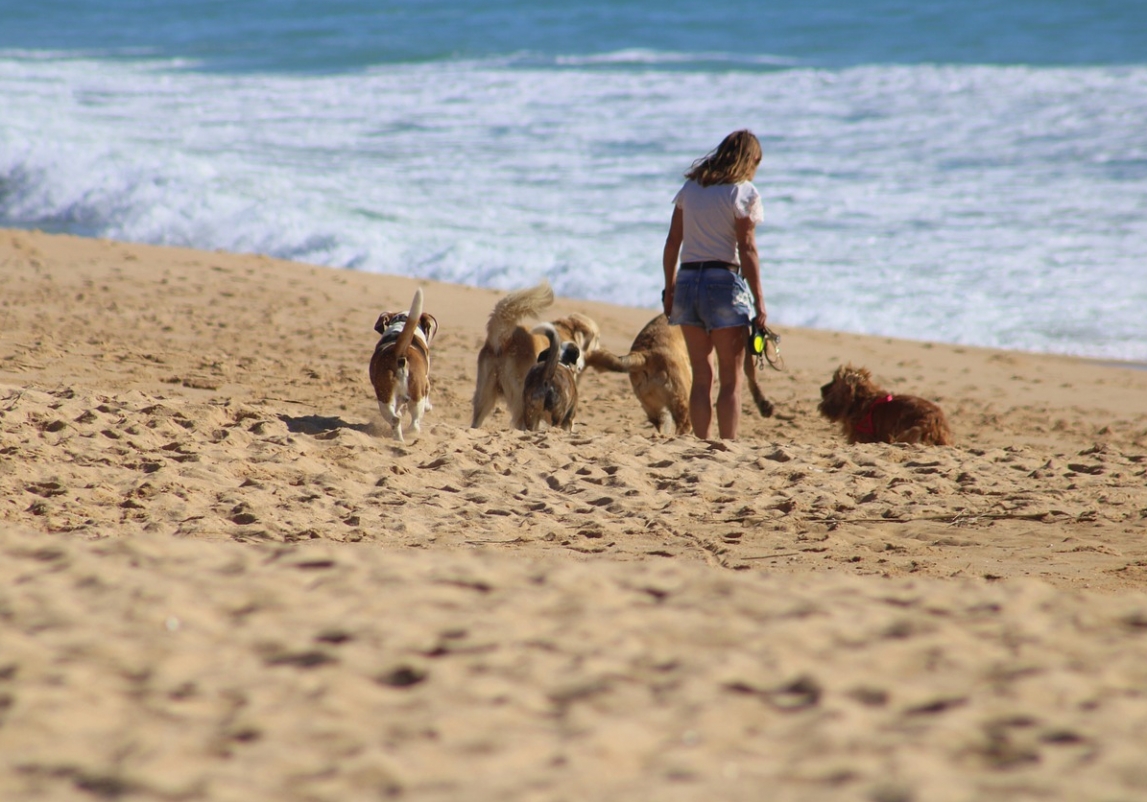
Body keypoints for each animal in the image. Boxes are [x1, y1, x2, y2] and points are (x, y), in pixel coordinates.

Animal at [369, 286, 435, 442]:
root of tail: (398, 352)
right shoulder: (426, 382)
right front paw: (429, 407)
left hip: (384, 397)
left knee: (395, 419)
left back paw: (399, 440)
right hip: (417, 394)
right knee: (414, 424)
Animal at [587, 314, 775, 438]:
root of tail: (645, 355)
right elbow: (751, 375)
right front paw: (764, 405)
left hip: (657, 409)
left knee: (664, 428)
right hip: (682, 397)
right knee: (683, 427)